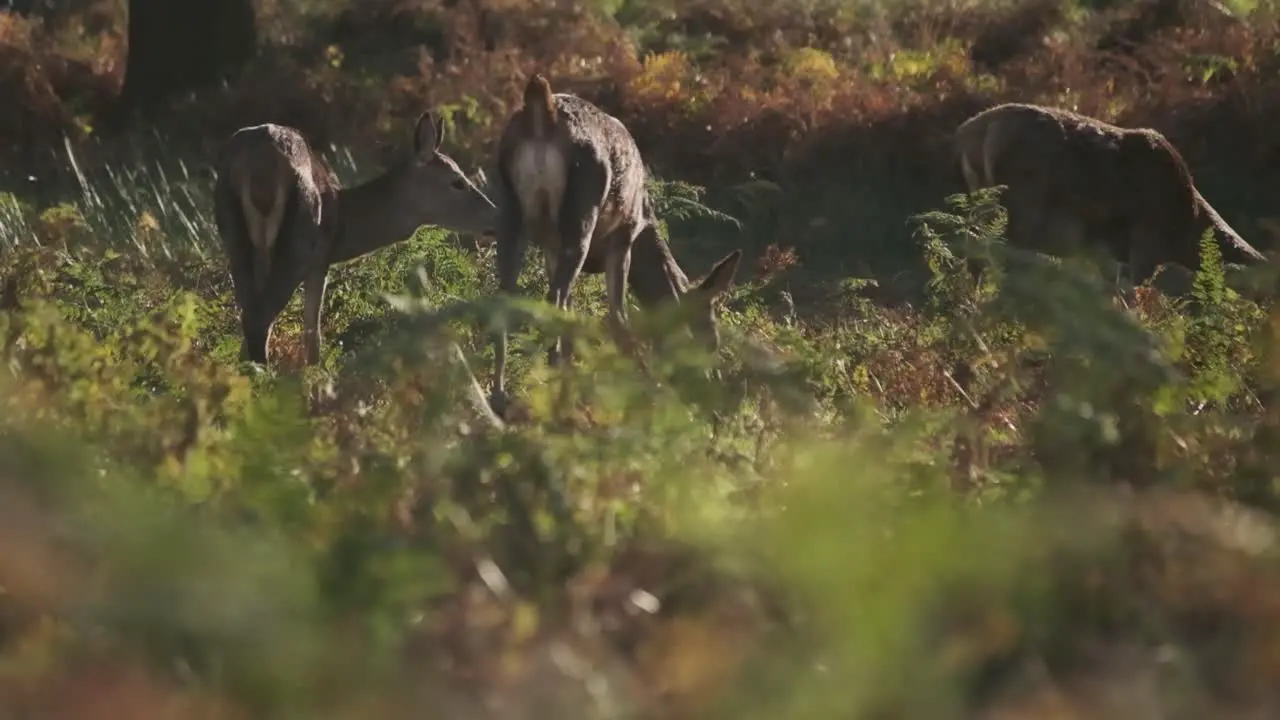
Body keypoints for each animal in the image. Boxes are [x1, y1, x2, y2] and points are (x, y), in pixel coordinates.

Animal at [212, 112, 496, 368]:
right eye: (457, 181)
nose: (495, 218)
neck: (344, 224)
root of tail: (259, 166)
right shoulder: (320, 259)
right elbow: (312, 336)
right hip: (300, 240)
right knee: (261, 318)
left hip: (235, 237)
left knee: (250, 313)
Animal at [483, 73, 747, 415]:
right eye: (710, 339)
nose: (709, 394)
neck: (647, 221)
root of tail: (542, 111)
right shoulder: (624, 235)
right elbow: (617, 316)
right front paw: (648, 387)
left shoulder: (551, 247)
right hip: (583, 209)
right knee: (555, 299)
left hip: (509, 208)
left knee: (506, 297)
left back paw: (500, 396)